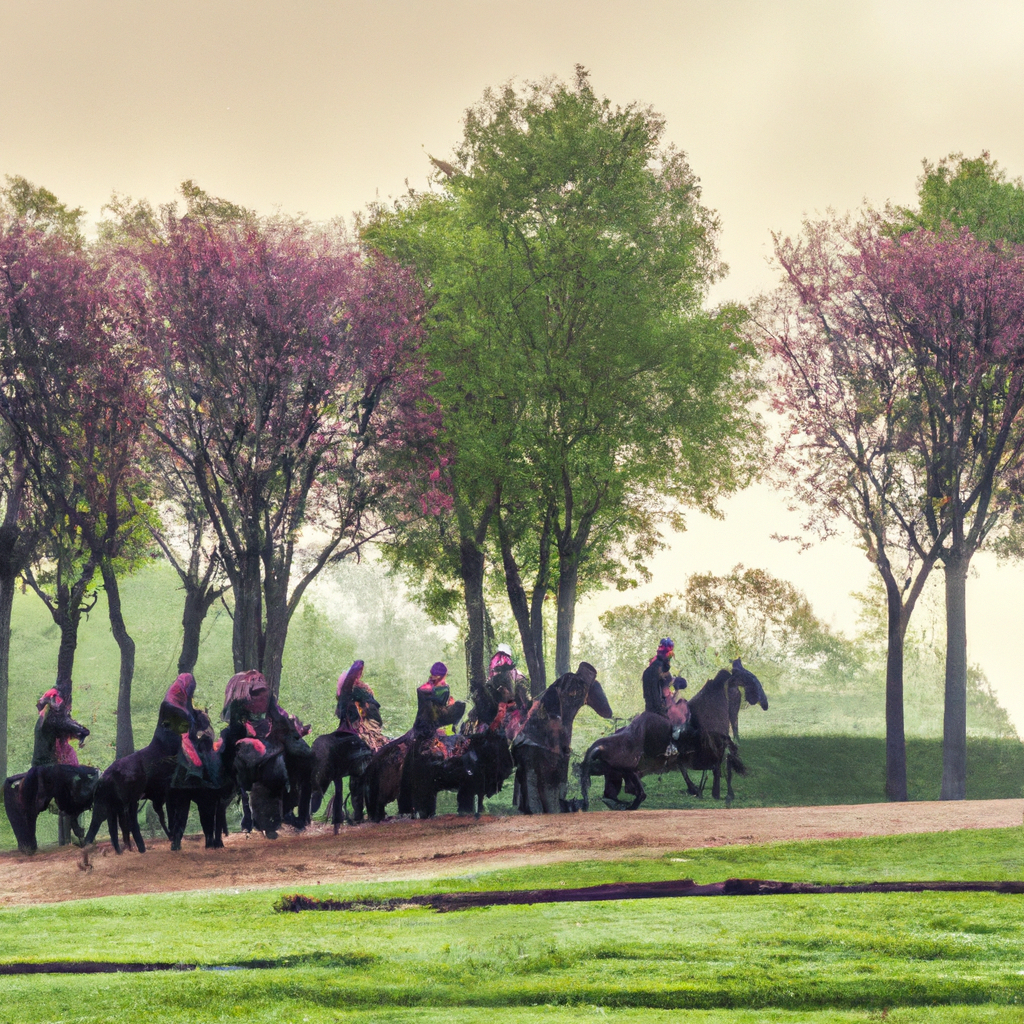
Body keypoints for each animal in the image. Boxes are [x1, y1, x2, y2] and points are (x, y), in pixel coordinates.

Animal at [585, 659, 770, 811]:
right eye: (749, 679)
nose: (764, 703)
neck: (711, 708)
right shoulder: (713, 748)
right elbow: (721, 765)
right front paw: (718, 793)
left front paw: (702, 790)